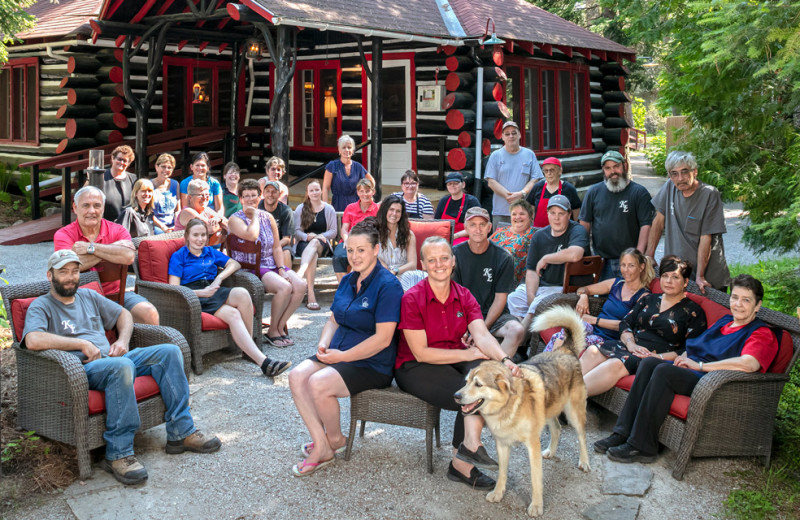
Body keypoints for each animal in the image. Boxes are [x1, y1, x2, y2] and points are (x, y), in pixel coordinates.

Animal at [454, 304, 592, 516]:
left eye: (478, 384)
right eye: (467, 381)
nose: (456, 396)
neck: (508, 407)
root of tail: (566, 349)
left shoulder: (532, 446)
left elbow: (536, 480)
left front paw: (536, 506)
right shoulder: (502, 445)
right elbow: (502, 472)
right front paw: (498, 493)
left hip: (574, 412)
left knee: (582, 436)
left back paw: (584, 462)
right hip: (548, 409)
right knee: (557, 428)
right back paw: (551, 451)